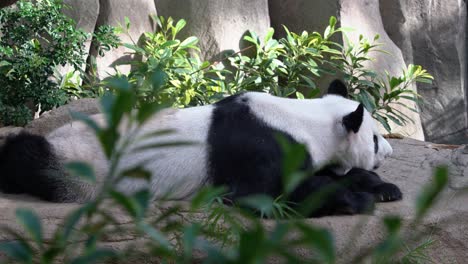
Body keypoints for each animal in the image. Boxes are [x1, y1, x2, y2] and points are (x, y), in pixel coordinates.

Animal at [0, 79, 402, 216]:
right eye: (376, 138)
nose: (390, 153)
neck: (305, 120)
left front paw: (384, 188)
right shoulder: (262, 146)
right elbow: (261, 195)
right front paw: (354, 200)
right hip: (71, 162)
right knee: (26, 155)